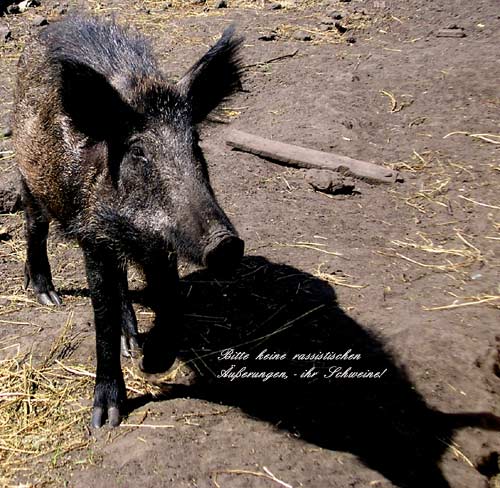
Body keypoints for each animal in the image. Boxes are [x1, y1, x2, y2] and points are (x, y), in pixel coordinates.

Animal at [13, 16, 244, 428]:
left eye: (195, 143)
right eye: (138, 151)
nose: (226, 244)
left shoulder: (160, 246)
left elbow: (170, 300)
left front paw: (151, 362)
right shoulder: (94, 238)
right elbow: (101, 318)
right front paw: (105, 419)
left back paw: (131, 341)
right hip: (29, 179)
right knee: (34, 226)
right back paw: (47, 295)